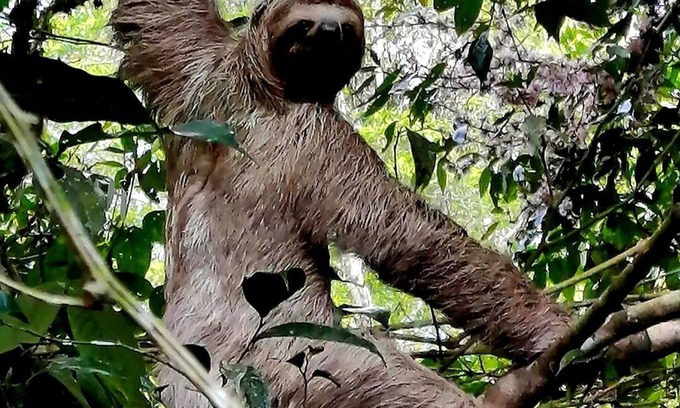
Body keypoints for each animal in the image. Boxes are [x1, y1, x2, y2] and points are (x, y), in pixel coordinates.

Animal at [110, 0, 570, 406]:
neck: (263, 89)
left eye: (346, 30)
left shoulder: (197, 69)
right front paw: (556, 333)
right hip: (290, 359)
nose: (329, 32)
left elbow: (155, 15)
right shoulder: (320, 137)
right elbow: (409, 236)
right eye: (303, 24)